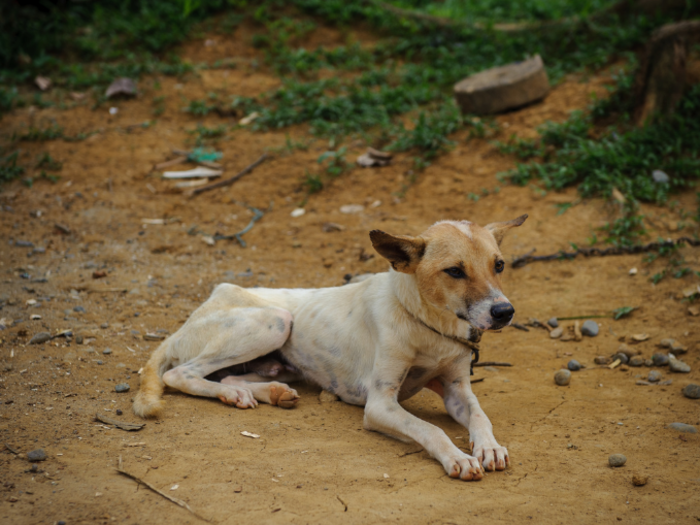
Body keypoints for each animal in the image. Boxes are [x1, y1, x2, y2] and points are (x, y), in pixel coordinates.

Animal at [133, 213, 524, 478]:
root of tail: (205, 302)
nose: (504, 312)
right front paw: (457, 457)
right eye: (455, 271)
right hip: (274, 321)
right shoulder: (380, 404)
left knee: (228, 376)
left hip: (276, 357)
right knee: (180, 374)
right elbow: (430, 428)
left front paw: (489, 447)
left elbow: (480, 415)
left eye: (499, 265)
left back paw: (267, 391)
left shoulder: (456, 388)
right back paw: (233, 394)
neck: (431, 324)